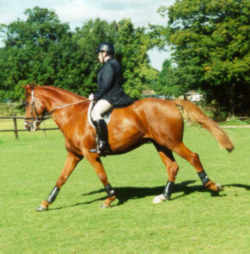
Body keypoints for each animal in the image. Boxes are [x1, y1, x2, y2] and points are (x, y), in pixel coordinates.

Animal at [23, 84, 234, 211]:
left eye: (26, 102)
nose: (26, 126)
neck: (72, 114)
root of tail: (170, 101)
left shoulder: (90, 155)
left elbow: (102, 175)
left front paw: (109, 199)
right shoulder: (74, 155)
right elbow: (62, 178)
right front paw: (45, 203)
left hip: (172, 142)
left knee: (193, 157)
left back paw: (212, 185)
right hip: (160, 144)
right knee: (172, 167)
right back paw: (163, 196)